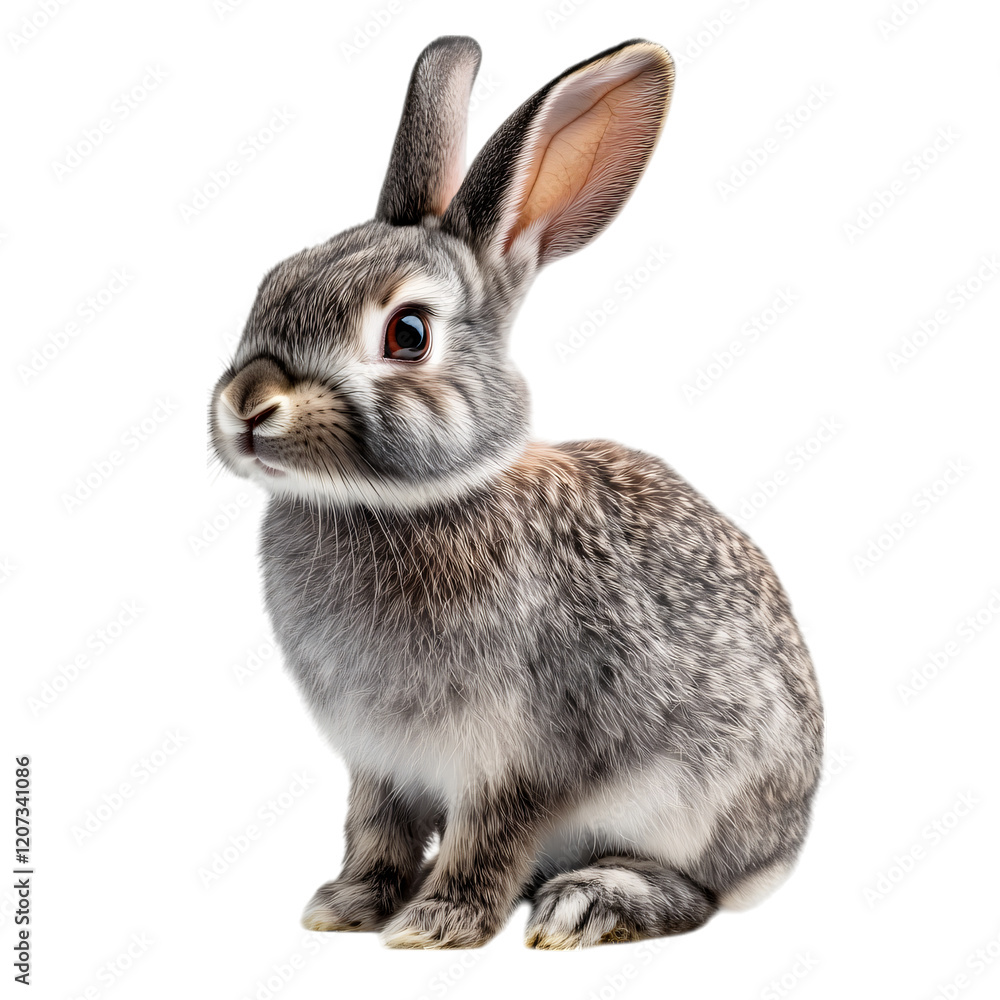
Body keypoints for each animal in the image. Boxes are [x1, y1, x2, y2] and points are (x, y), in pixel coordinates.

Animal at [209, 35, 823, 950]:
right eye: (274, 281)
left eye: (408, 334)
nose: (247, 404)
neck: (393, 505)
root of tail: (786, 842)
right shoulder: (378, 762)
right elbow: (375, 829)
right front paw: (347, 907)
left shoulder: (521, 759)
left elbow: (489, 839)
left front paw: (434, 926)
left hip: (699, 800)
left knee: (696, 892)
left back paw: (591, 901)